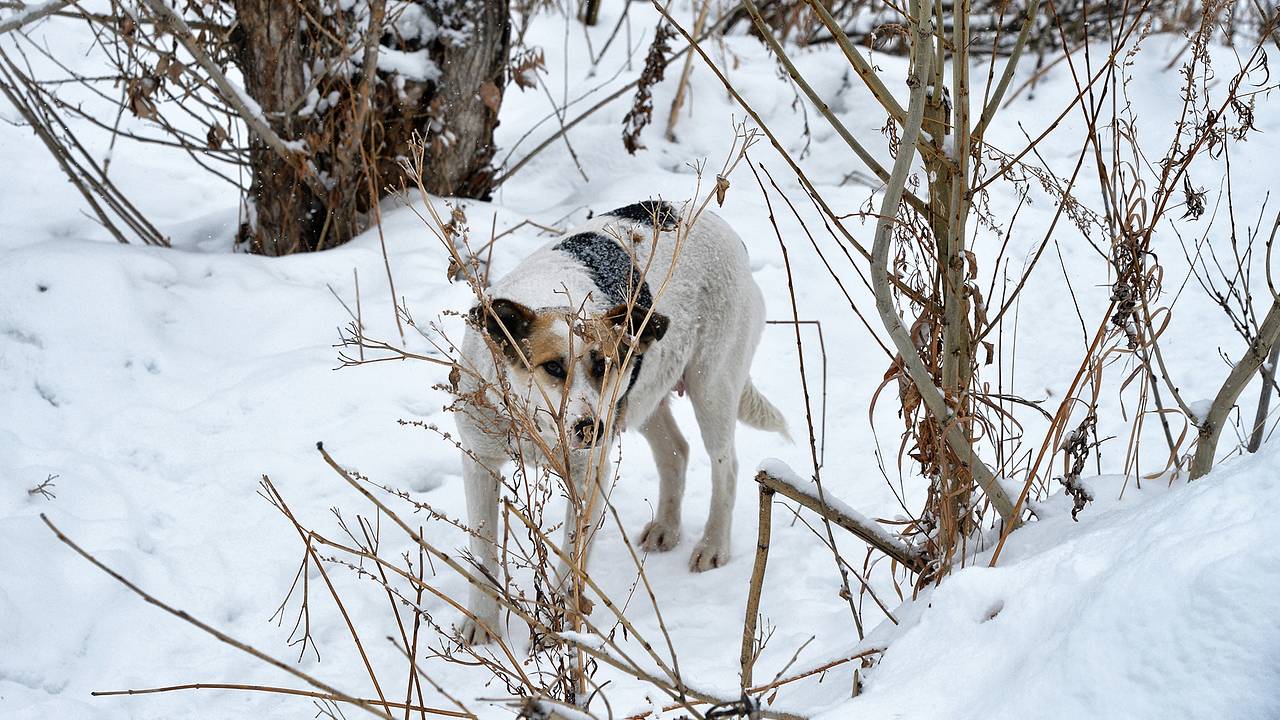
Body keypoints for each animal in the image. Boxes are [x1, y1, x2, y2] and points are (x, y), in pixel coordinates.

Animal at [455, 198, 783, 640]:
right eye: (553, 368)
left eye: (603, 365)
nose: (590, 429)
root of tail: (718, 222)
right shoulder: (480, 462)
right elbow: (484, 551)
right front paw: (483, 623)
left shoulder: (587, 475)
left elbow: (571, 563)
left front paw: (566, 630)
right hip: (642, 394)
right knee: (676, 451)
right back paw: (666, 528)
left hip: (710, 384)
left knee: (725, 465)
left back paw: (713, 545)